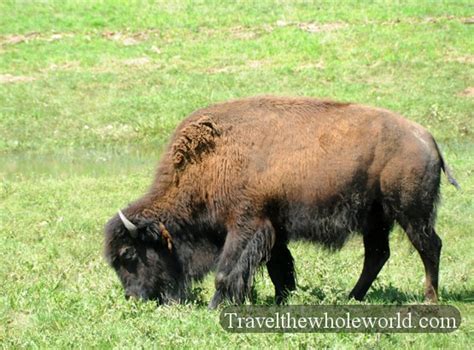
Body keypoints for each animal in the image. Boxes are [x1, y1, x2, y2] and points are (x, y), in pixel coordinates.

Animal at [103, 95, 460, 308]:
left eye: (129, 254)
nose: (133, 297)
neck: (211, 159)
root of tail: (427, 138)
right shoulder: (273, 230)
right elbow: (280, 268)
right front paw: (281, 298)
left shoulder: (246, 225)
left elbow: (227, 270)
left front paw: (217, 305)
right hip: (376, 218)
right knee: (377, 255)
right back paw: (352, 297)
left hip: (411, 213)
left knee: (430, 247)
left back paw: (430, 299)